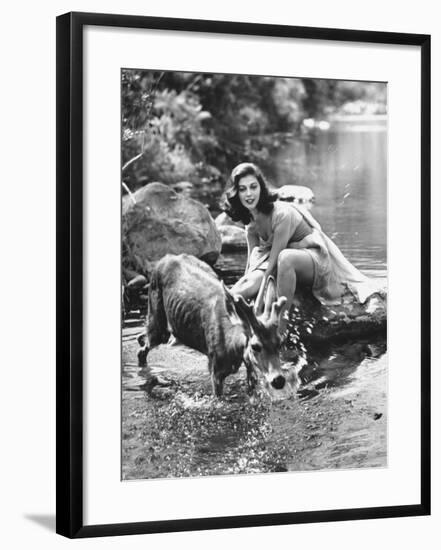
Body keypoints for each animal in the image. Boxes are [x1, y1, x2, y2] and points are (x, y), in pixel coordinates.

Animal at [138, 252, 288, 398]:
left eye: (280, 343)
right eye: (255, 346)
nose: (278, 380)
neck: (232, 344)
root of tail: (165, 258)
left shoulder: (250, 367)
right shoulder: (216, 370)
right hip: (157, 320)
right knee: (142, 349)